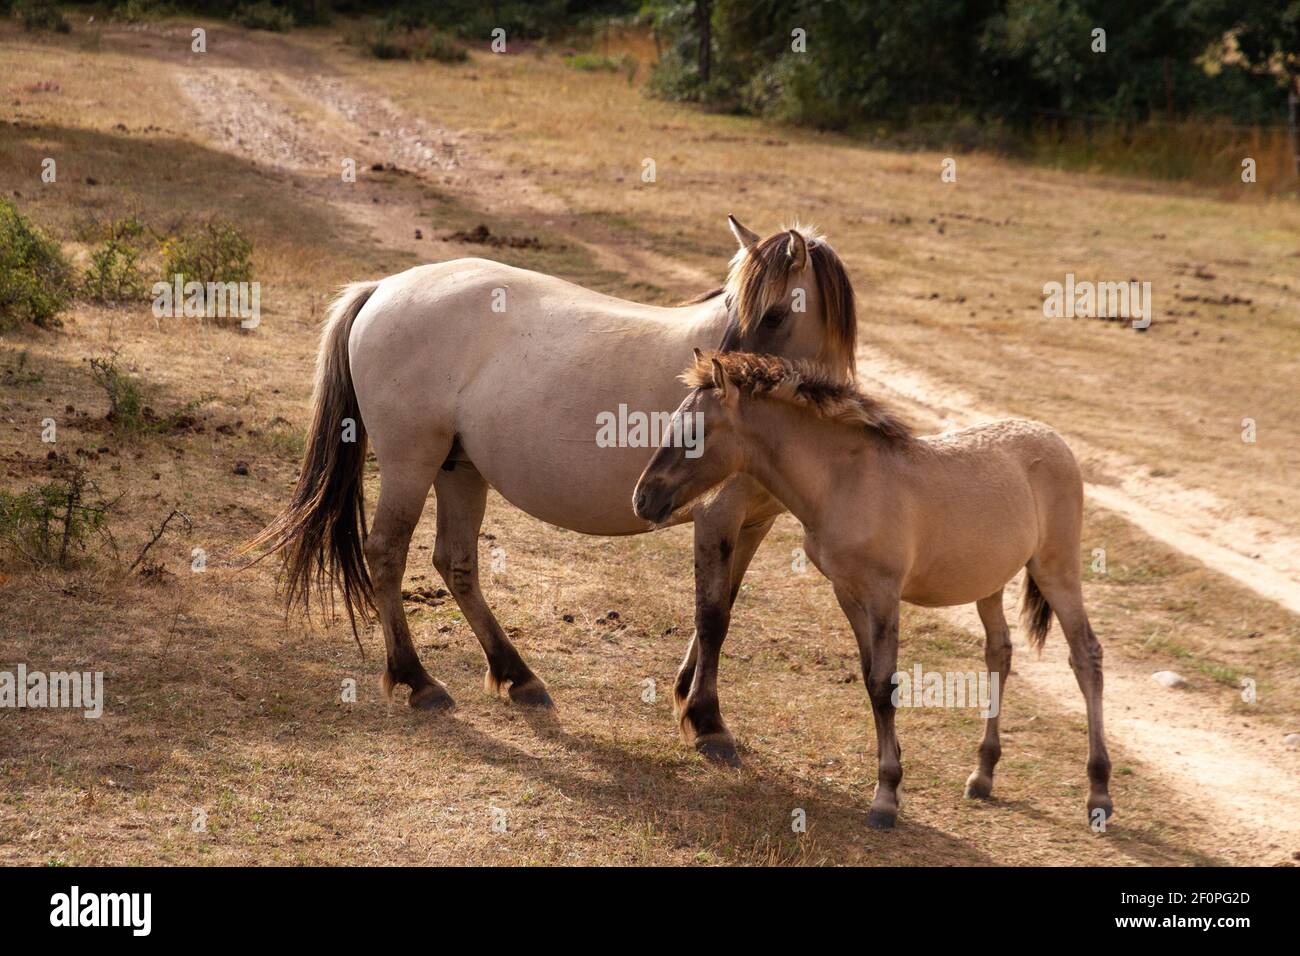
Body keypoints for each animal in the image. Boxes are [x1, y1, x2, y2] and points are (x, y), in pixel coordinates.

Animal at [246, 218, 858, 766]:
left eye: (773, 314)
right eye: (731, 307)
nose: (708, 387)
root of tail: (384, 287)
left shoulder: (752, 524)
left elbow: (720, 608)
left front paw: (687, 697)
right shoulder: (717, 519)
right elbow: (711, 616)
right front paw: (708, 723)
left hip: (459, 469)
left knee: (456, 563)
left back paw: (517, 676)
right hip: (409, 464)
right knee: (387, 555)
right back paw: (418, 681)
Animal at [633, 350, 1113, 829]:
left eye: (694, 433)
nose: (643, 499)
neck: (845, 481)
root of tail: (1054, 439)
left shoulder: (883, 594)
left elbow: (885, 685)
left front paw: (885, 798)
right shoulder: (848, 593)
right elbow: (870, 680)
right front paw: (893, 780)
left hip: (1056, 569)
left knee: (1085, 655)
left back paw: (1099, 792)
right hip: (989, 582)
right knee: (1000, 653)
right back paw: (983, 775)